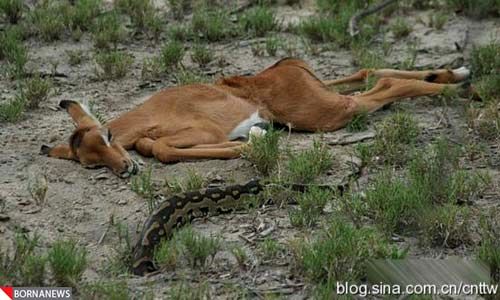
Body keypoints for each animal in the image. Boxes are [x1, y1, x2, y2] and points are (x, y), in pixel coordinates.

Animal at [41, 57, 470, 177]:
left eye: (107, 137)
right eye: (90, 163)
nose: (124, 169)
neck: (143, 118)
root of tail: (287, 65)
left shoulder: (198, 131)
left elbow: (161, 148)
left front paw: (251, 143)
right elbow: (157, 148)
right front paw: (254, 139)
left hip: (329, 113)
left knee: (383, 86)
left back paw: (463, 89)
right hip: (329, 99)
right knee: (371, 74)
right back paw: (458, 74)